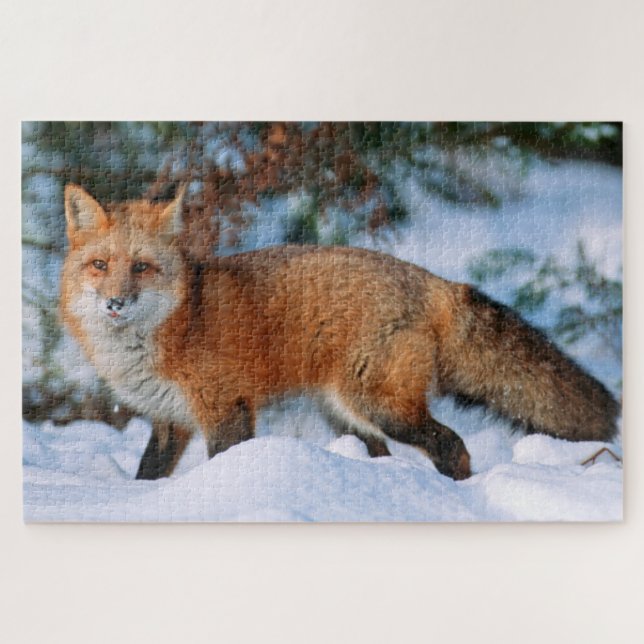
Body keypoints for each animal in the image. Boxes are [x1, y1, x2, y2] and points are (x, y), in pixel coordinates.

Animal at [60, 183, 620, 481]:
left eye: (142, 268)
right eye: (100, 265)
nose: (115, 303)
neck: (173, 327)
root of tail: (430, 280)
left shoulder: (226, 409)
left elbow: (226, 461)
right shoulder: (170, 421)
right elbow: (146, 474)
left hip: (380, 405)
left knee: (452, 445)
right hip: (345, 414)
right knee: (387, 453)